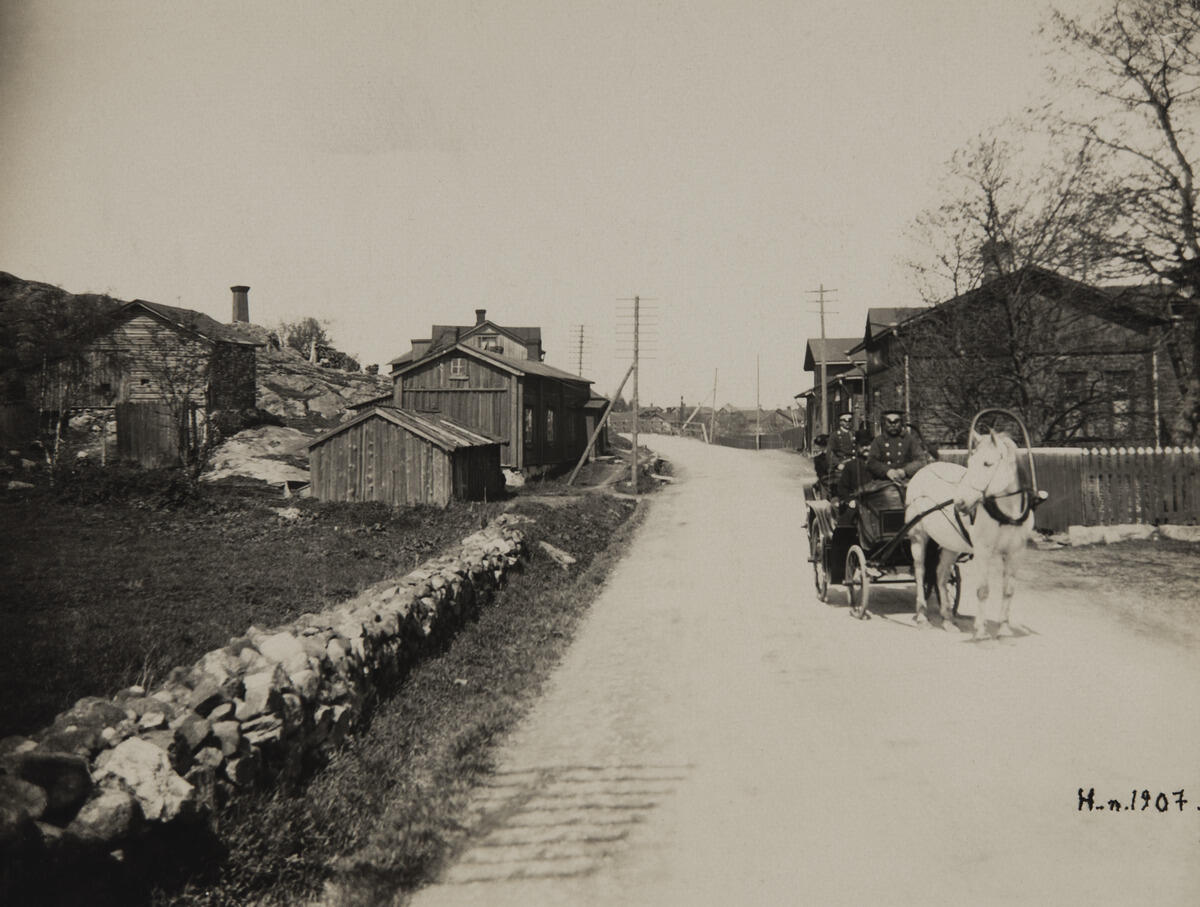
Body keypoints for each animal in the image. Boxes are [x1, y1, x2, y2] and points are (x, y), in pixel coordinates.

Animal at [902, 429, 1036, 638]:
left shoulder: (1016, 552)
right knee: (920, 573)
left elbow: (1008, 590)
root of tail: (924, 470)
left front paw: (1004, 629)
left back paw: (948, 619)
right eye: (971, 462)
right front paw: (980, 630)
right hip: (918, 538)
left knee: (941, 575)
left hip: (950, 545)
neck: (1006, 514)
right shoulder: (983, 551)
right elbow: (983, 590)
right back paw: (922, 616)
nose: (960, 502)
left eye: (987, 463)